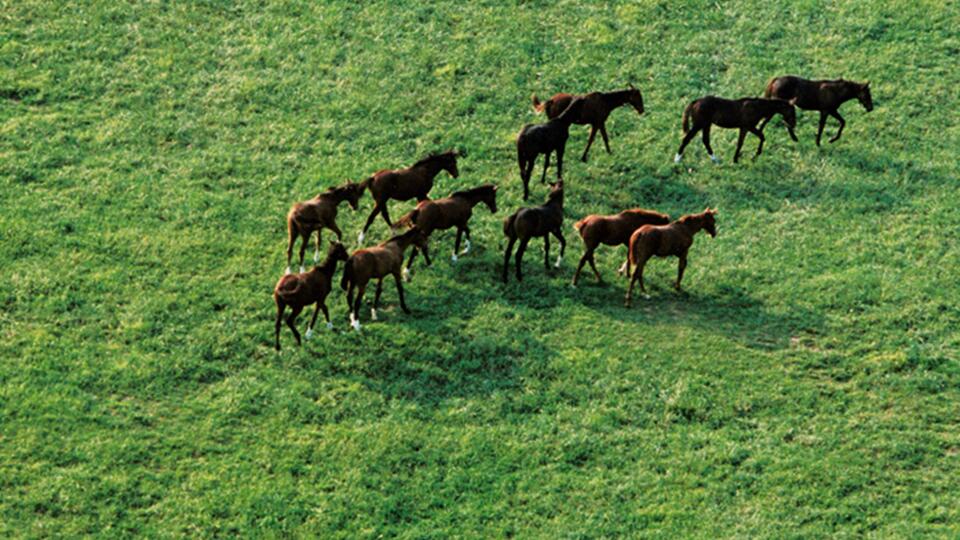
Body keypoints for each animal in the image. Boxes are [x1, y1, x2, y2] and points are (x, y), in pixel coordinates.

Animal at [676, 97, 804, 163]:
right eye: (792, 112)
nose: (793, 124)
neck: (758, 107)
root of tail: (695, 102)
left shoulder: (744, 128)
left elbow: (741, 143)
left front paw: (736, 159)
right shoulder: (748, 127)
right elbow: (760, 137)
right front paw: (753, 156)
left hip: (706, 124)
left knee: (705, 140)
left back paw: (715, 159)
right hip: (698, 125)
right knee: (686, 138)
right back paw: (677, 158)